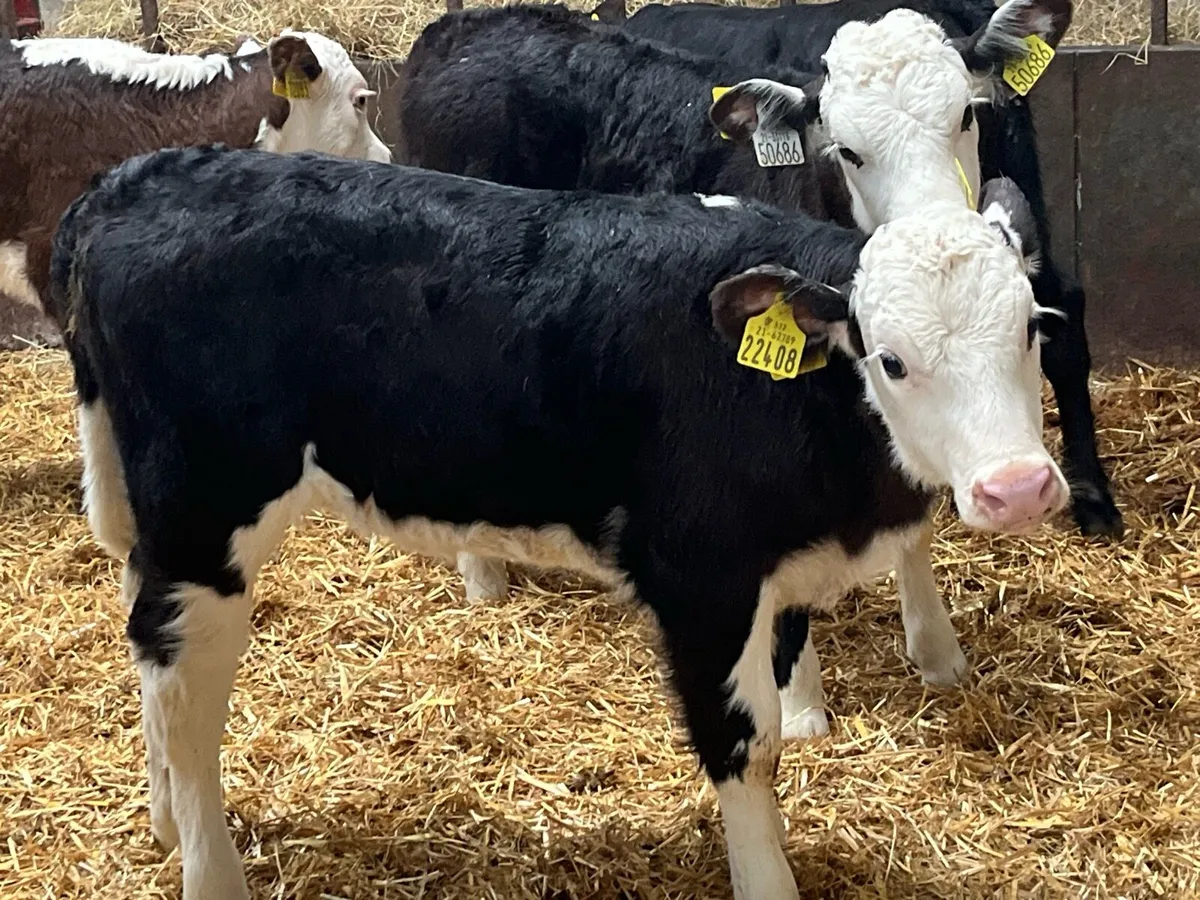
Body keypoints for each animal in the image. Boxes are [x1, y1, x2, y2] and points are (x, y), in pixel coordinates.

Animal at [52, 144, 1064, 900]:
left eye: (1030, 328)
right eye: (891, 359)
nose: (1018, 486)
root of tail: (130, 180)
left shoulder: (778, 577)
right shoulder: (700, 577)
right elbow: (747, 745)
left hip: (157, 519)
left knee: (146, 643)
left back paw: (161, 819)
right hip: (206, 514)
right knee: (186, 695)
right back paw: (209, 866)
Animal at [398, 0, 1069, 738]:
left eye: (966, 117)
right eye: (847, 148)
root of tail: (462, 28)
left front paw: (936, 650)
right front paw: (803, 705)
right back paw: (482, 574)